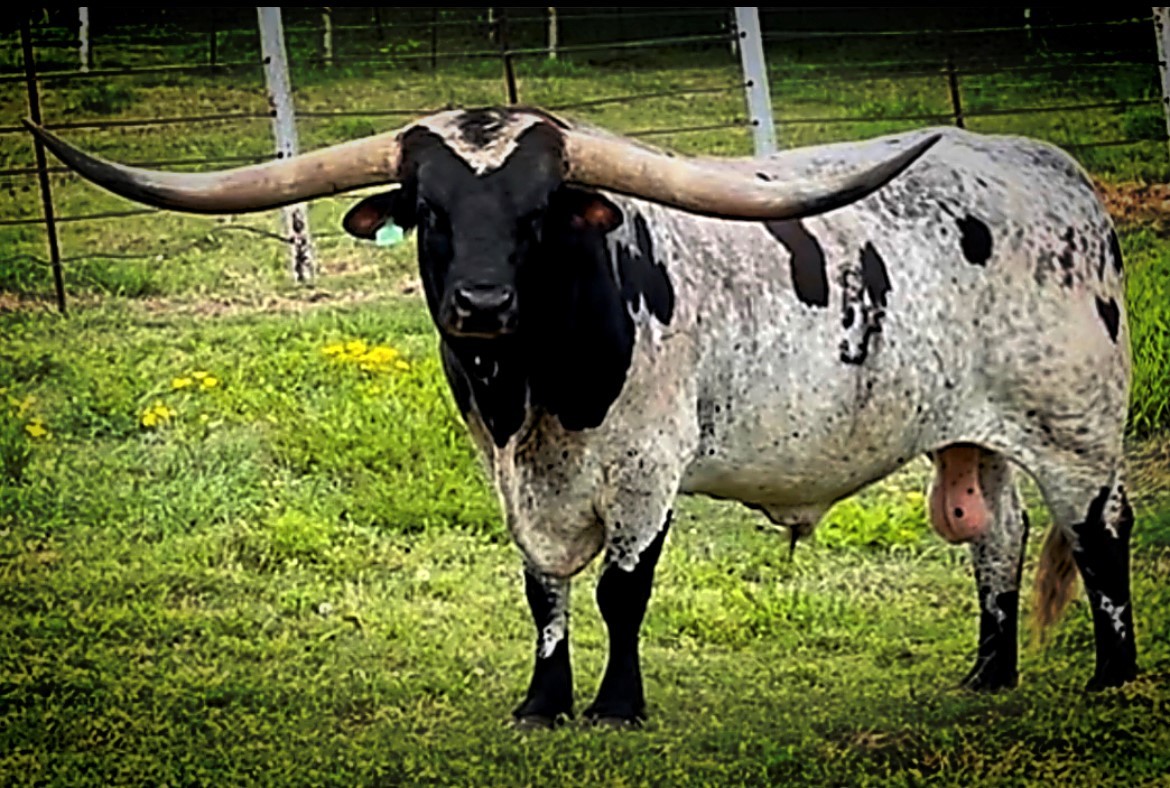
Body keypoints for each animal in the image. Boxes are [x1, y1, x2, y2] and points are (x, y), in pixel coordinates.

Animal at [26, 107, 1135, 728]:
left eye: (538, 212)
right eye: (431, 211)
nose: (480, 303)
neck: (530, 391)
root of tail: (1056, 174)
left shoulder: (646, 467)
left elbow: (618, 591)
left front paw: (615, 706)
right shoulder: (513, 474)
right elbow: (542, 590)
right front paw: (544, 702)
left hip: (1077, 424)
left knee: (1099, 534)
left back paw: (1113, 679)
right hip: (974, 432)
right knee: (997, 536)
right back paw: (987, 675)